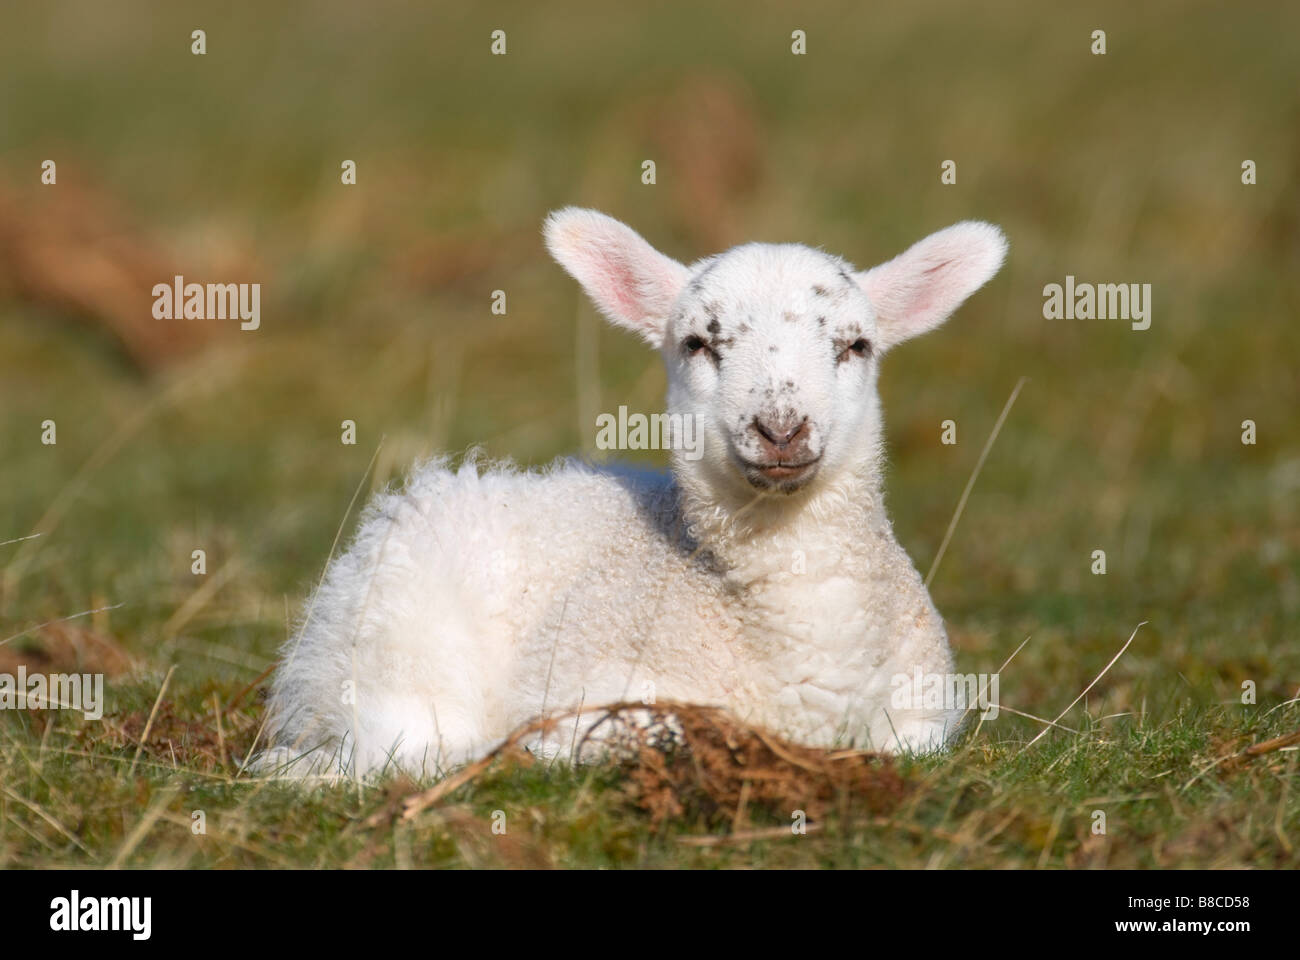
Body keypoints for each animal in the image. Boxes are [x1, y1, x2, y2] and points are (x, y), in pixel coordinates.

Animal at [253, 205, 1003, 775]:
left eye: (856, 346)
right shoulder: (593, 688)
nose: (781, 430)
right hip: (393, 648)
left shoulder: (922, 719)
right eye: (698, 342)